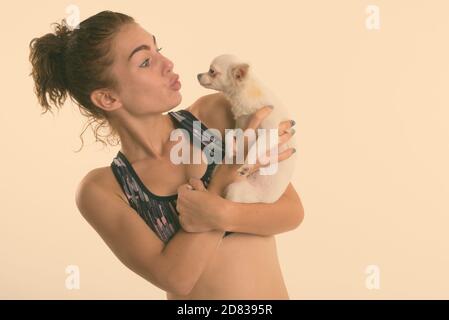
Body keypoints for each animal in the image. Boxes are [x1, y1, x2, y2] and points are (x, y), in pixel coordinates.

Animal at [195, 53, 294, 202]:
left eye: (212, 71)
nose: (198, 75)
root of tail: (266, 202)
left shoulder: (270, 132)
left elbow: (256, 147)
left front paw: (247, 165)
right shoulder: (240, 127)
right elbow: (230, 135)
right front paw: (231, 149)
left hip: (236, 190)